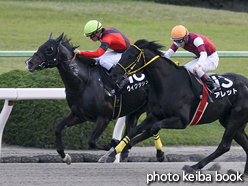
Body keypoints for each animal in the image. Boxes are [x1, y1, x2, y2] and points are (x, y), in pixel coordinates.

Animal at [25, 33, 150, 164]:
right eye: (41, 46)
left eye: (49, 49)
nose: (29, 63)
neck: (84, 83)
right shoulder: (79, 115)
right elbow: (58, 128)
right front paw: (65, 156)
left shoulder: (104, 117)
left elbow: (92, 142)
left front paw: (111, 146)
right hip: (136, 110)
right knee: (135, 130)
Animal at [107, 38, 248, 176]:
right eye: (122, 55)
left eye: (131, 56)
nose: (113, 75)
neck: (168, 83)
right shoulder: (155, 115)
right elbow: (135, 131)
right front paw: (113, 153)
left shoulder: (181, 121)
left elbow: (154, 128)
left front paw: (160, 155)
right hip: (229, 120)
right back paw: (245, 174)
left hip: (236, 118)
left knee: (224, 146)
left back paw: (193, 167)